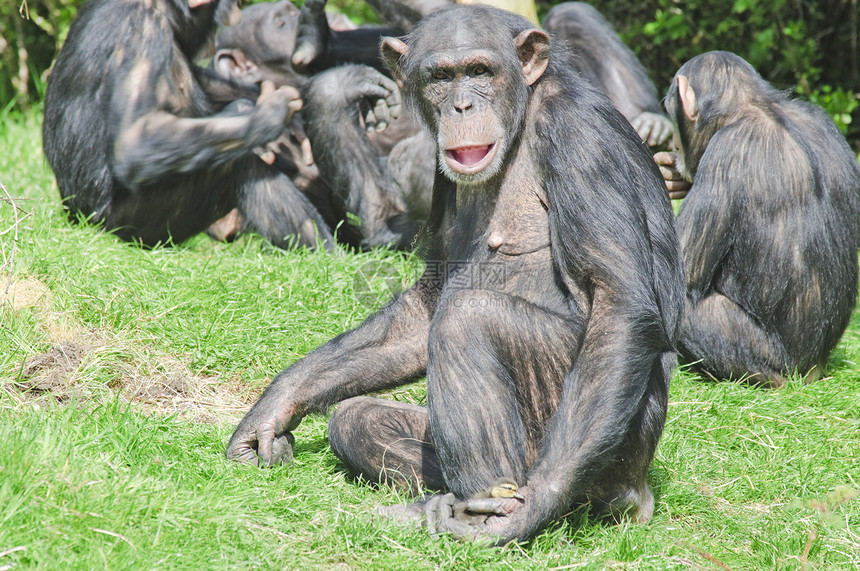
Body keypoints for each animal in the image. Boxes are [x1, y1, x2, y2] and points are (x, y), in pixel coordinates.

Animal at [42, 0, 334, 252]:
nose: (235, 13)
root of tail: (75, 217)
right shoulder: (141, 29)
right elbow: (136, 140)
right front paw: (267, 113)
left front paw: (289, 118)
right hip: (134, 225)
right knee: (239, 166)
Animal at [228, 6, 684, 548]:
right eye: (441, 77)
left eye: (481, 71)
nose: (463, 105)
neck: (523, 118)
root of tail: (640, 493)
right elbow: (428, 302)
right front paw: (274, 406)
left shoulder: (581, 138)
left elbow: (618, 302)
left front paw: (534, 506)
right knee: (356, 419)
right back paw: (436, 506)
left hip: (605, 454)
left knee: (469, 320)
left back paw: (492, 514)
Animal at [660, 51, 856, 388]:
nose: (673, 141)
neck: (755, 107)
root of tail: (810, 371)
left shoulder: (725, 153)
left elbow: (682, 269)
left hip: (764, 355)